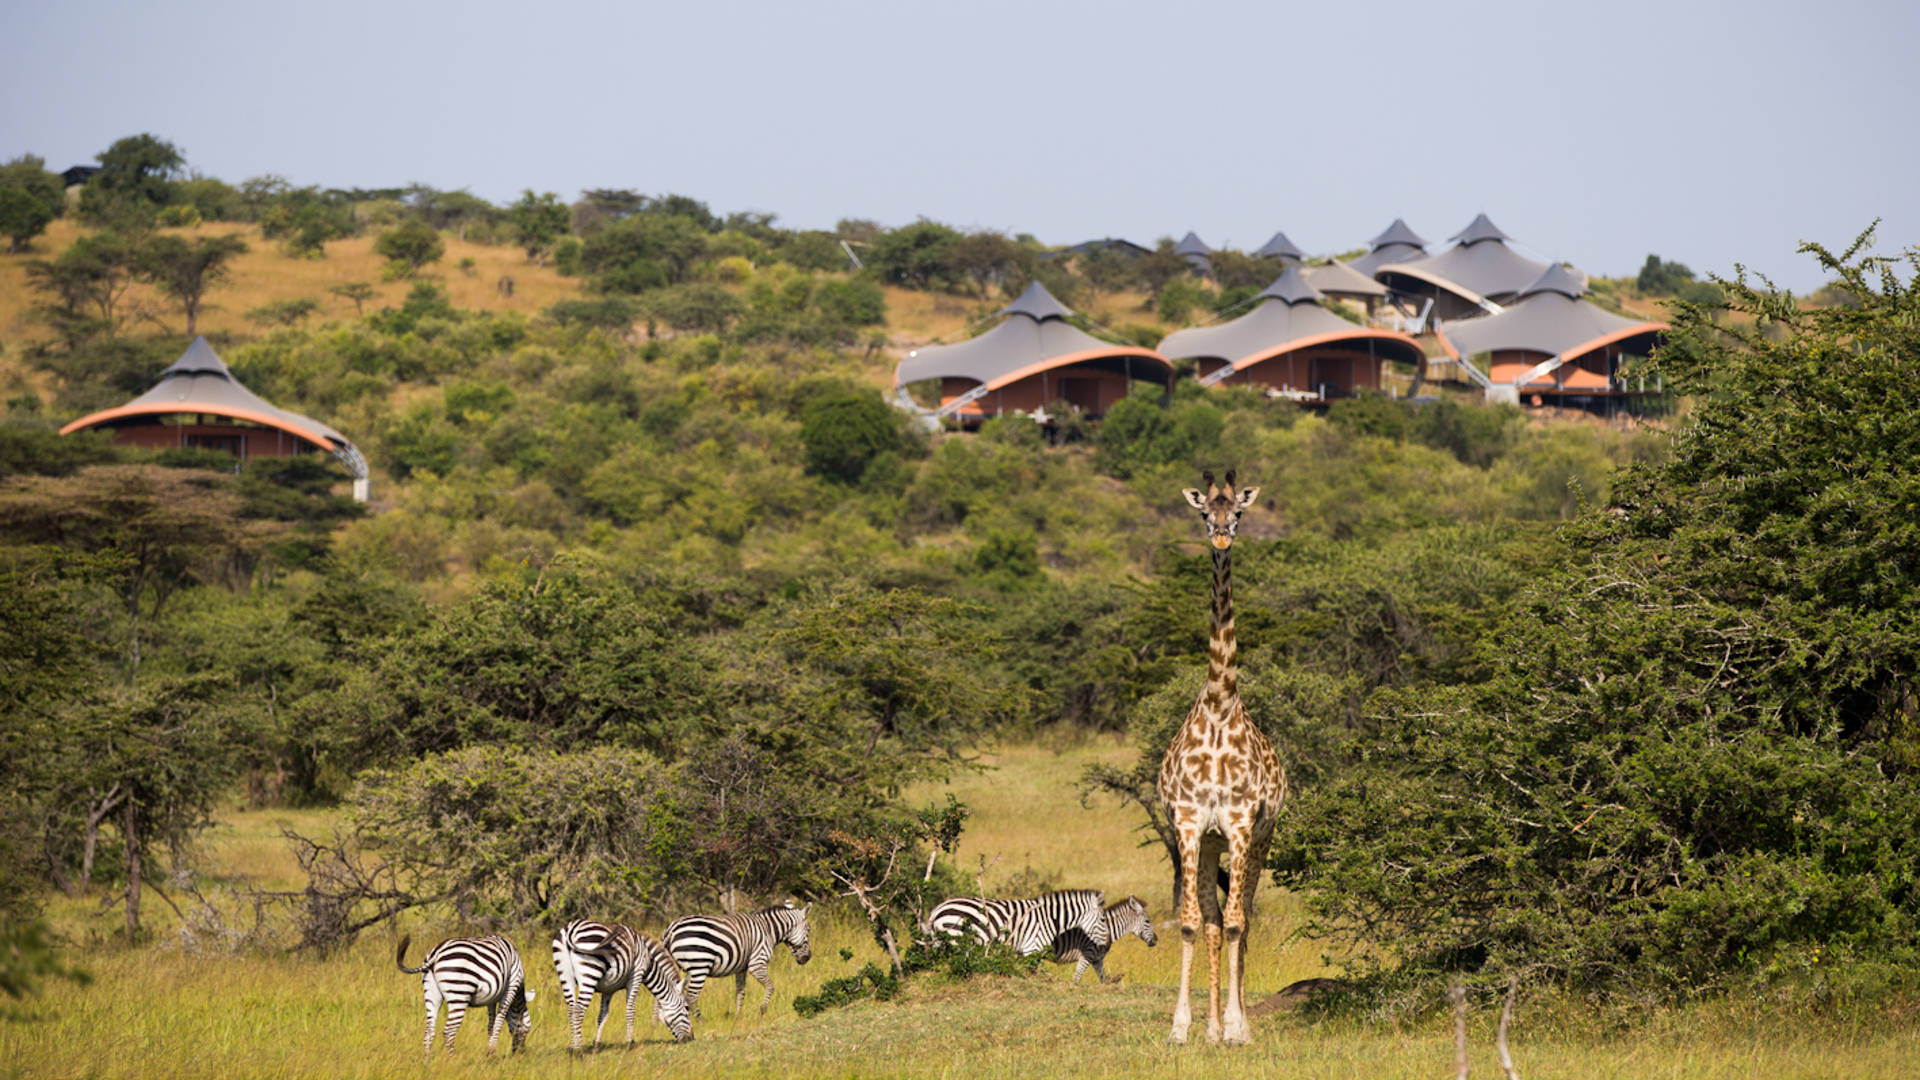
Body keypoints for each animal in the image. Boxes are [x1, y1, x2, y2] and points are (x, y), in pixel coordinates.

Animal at [395, 930, 537, 1053]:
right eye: (526, 1030)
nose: (519, 1054)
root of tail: (437, 952)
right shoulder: (511, 987)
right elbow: (499, 1021)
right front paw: (491, 1053)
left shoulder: (491, 998)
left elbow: (491, 1024)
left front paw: (489, 1052)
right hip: (459, 993)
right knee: (449, 1031)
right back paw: (451, 1060)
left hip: (431, 992)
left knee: (429, 1032)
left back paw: (427, 1063)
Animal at [552, 914, 695, 1045]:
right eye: (687, 1008)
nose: (691, 1039)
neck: (648, 962)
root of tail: (572, 928)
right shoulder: (636, 975)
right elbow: (630, 1010)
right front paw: (630, 1042)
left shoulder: (608, 988)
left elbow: (602, 1015)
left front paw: (596, 1043)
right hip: (590, 972)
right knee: (578, 1009)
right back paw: (578, 1049)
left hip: (565, 975)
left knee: (571, 1009)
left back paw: (572, 1046)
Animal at [660, 903, 810, 1014]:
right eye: (809, 930)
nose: (808, 958)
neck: (768, 931)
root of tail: (671, 929)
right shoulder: (757, 963)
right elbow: (770, 986)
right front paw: (762, 1010)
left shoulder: (741, 968)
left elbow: (740, 992)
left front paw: (738, 1016)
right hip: (699, 966)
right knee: (691, 997)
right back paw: (699, 1021)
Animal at [921, 887, 1105, 953]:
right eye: (1103, 920)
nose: (1104, 947)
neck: (1050, 918)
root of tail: (936, 911)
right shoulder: (1033, 946)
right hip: (956, 938)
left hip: (940, 942)